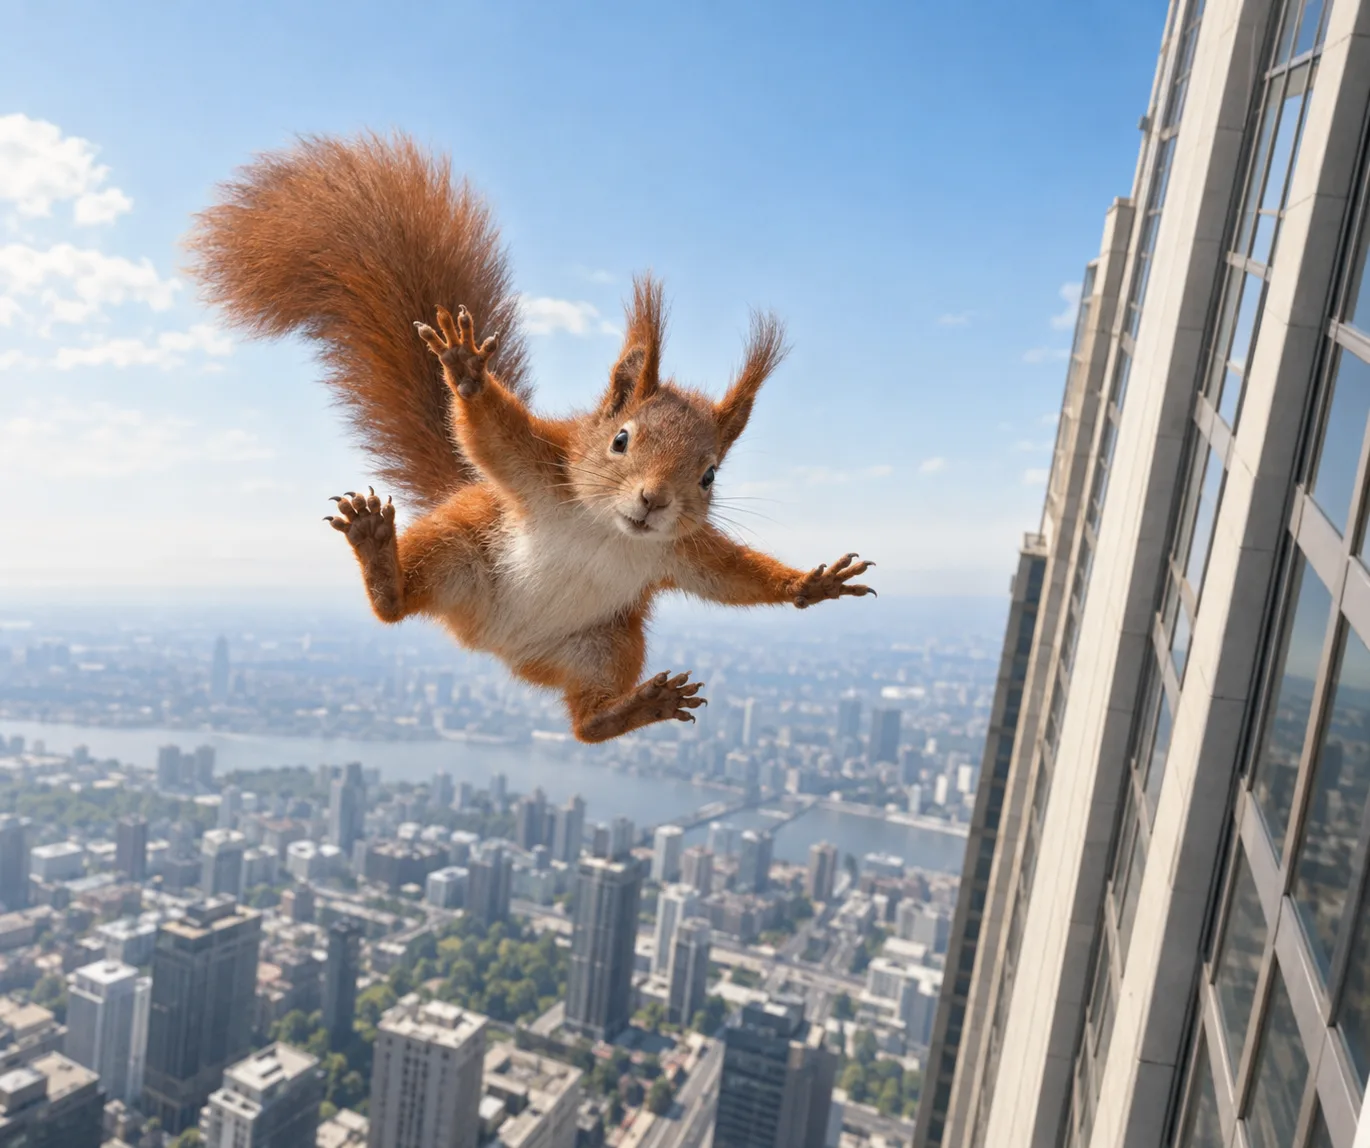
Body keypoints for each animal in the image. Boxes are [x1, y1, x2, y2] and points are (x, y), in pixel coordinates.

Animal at [186, 132, 875, 744]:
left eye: (709, 476)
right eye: (620, 440)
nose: (654, 500)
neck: (606, 528)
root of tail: (496, 642)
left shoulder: (681, 552)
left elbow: (733, 577)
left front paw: (811, 584)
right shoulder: (539, 470)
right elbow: (493, 434)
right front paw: (465, 370)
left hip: (607, 643)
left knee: (585, 727)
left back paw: (633, 709)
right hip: (455, 547)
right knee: (395, 606)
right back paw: (378, 551)